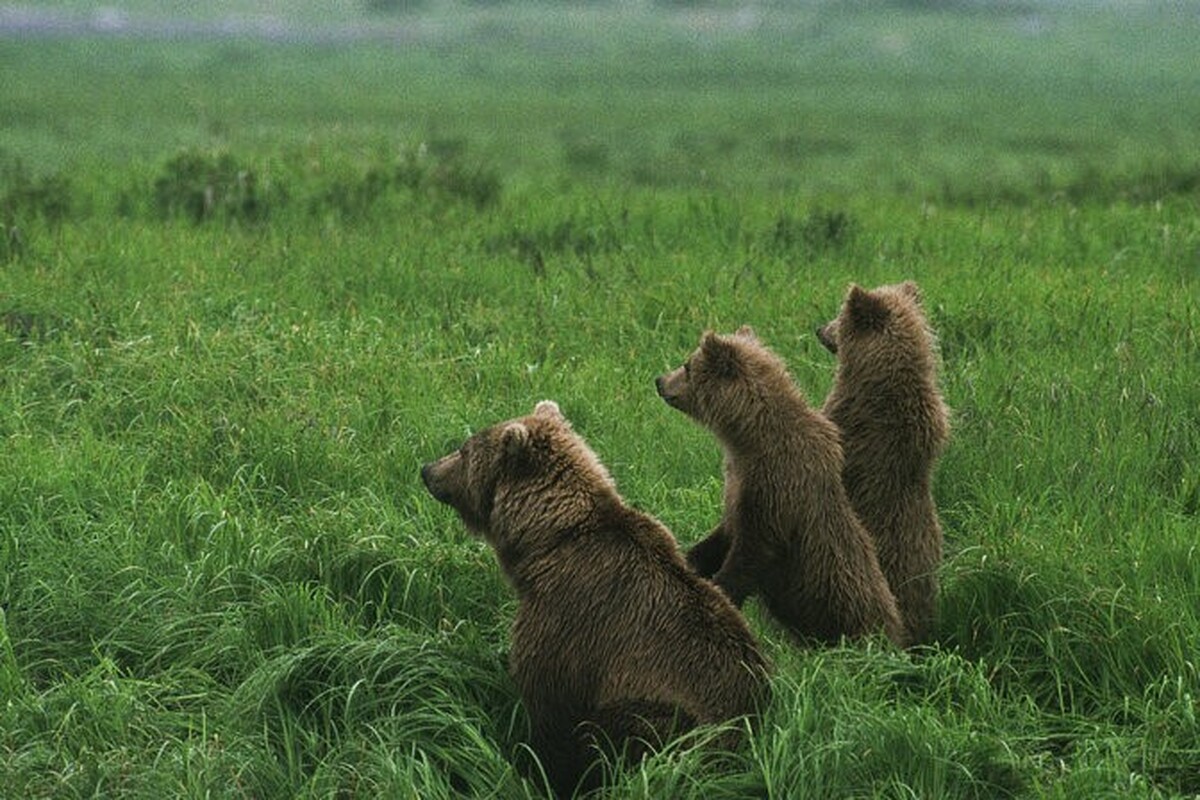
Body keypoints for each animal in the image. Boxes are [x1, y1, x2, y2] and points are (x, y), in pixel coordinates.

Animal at [420, 402, 768, 796]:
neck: (546, 540)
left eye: (464, 449)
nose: (427, 470)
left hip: (671, 718)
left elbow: (550, 706)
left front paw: (537, 772)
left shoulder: (569, 617)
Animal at [662, 328, 902, 647]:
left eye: (688, 366)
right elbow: (724, 532)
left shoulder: (775, 488)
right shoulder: (737, 483)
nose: (660, 381)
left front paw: (720, 590)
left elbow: (752, 554)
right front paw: (690, 559)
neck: (747, 439)